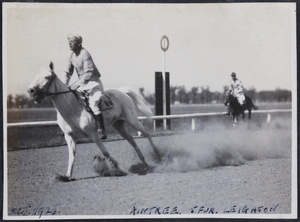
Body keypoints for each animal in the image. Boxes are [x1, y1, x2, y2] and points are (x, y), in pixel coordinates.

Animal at [28, 62, 162, 180]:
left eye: (47, 77)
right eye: (35, 76)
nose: (31, 91)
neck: (72, 108)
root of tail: (123, 92)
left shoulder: (93, 134)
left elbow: (105, 152)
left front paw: (117, 168)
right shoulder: (69, 137)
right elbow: (72, 156)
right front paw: (67, 176)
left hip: (132, 120)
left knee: (147, 133)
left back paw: (158, 154)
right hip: (119, 126)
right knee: (132, 141)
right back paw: (144, 163)